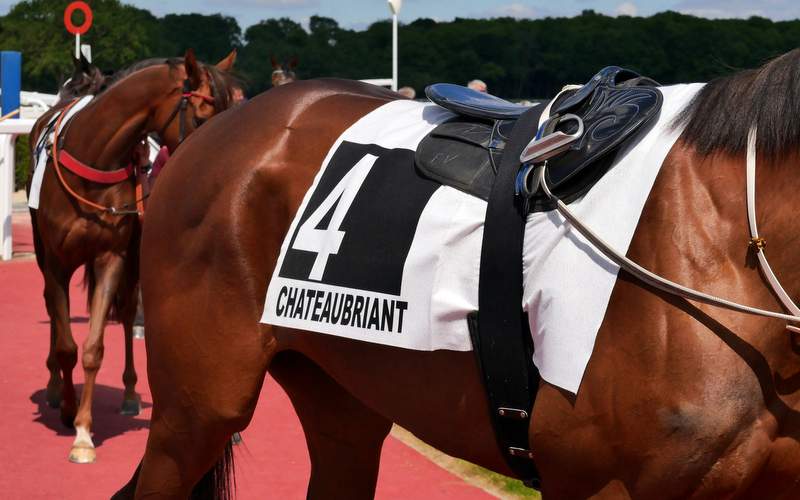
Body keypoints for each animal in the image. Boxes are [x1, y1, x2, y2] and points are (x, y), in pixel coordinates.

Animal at [28, 48, 241, 462]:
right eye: (202, 117)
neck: (93, 159)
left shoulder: (112, 256)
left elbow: (93, 347)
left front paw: (83, 431)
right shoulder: (58, 262)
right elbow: (66, 345)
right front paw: (68, 407)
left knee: (127, 315)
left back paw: (129, 394)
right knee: (52, 309)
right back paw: (53, 387)